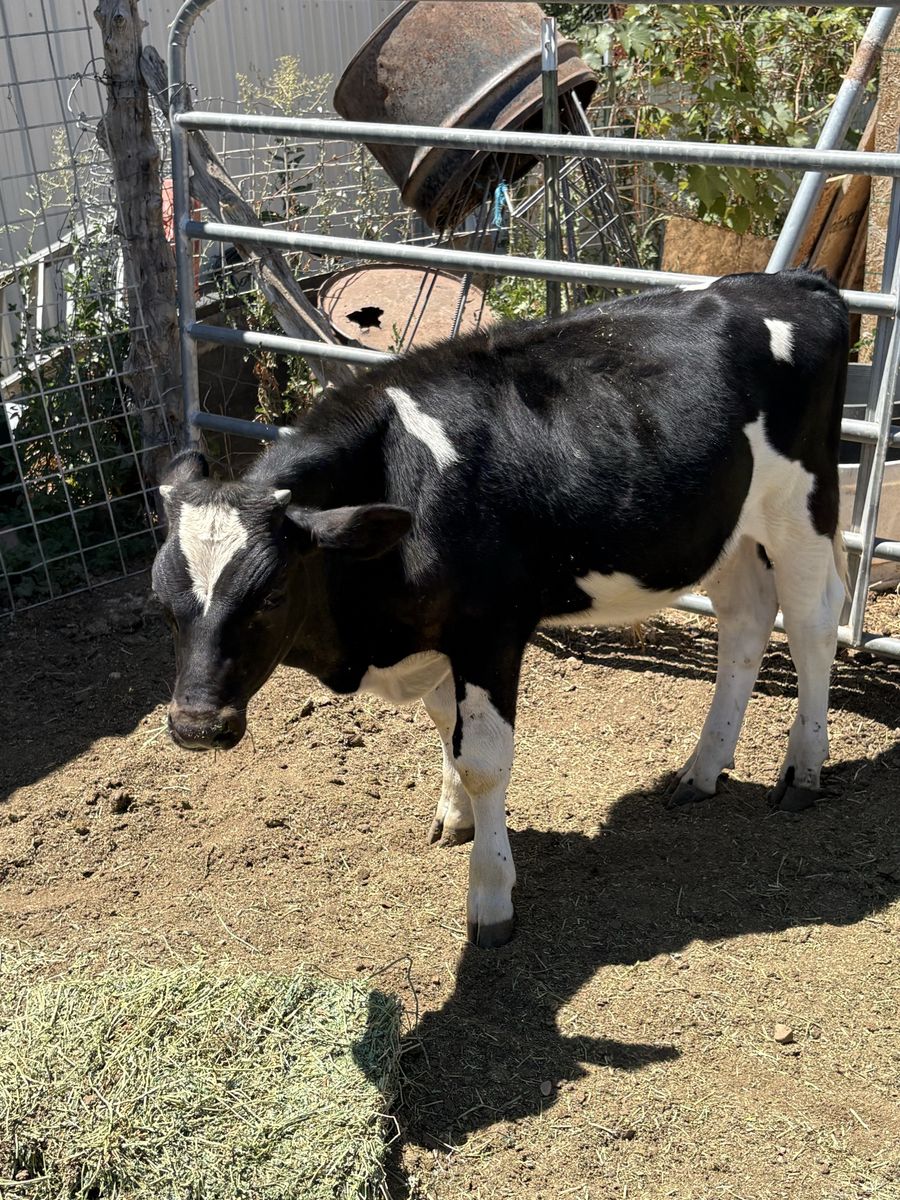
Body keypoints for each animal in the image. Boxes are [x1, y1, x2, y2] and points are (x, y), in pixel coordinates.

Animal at [151, 269, 849, 948]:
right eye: (161, 599)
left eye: (271, 594)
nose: (195, 726)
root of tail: (794, 283)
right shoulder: (434, 633)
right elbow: (444, 725)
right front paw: (454, 816)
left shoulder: (489, 632)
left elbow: (483, 760)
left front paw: (489, 896)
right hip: (727, 524)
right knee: (745, 620)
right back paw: (702, 770)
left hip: (802, 504)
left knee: (812, 622)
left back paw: (802, 771)